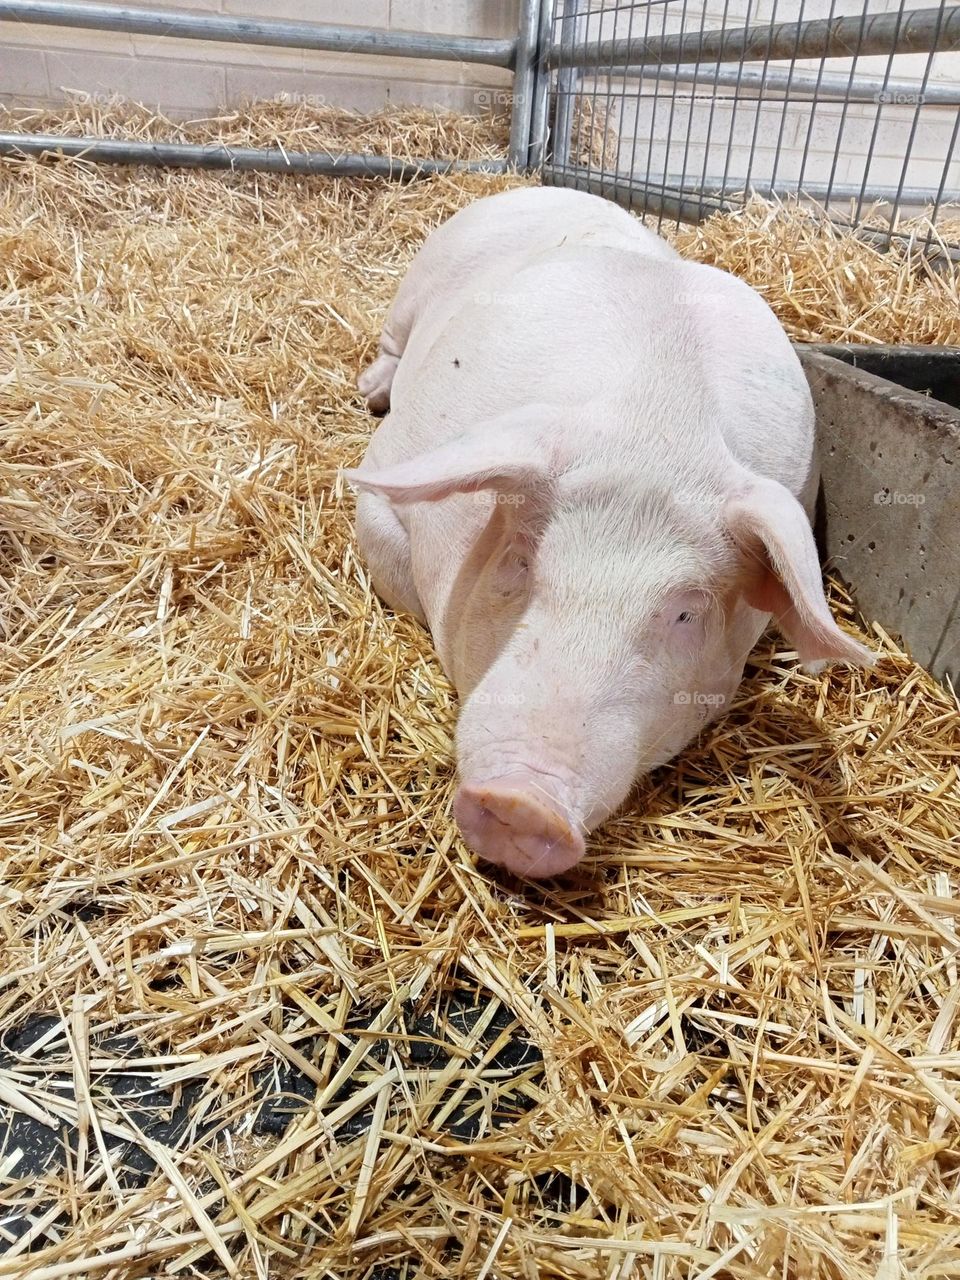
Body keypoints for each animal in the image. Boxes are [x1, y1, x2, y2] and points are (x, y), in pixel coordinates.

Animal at [345, 186, 873, 879]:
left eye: (685, 614)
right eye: (522, 561)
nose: (523, 803)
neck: (652, 428)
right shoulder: (389, 470)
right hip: (415, 290)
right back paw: (371, 390)